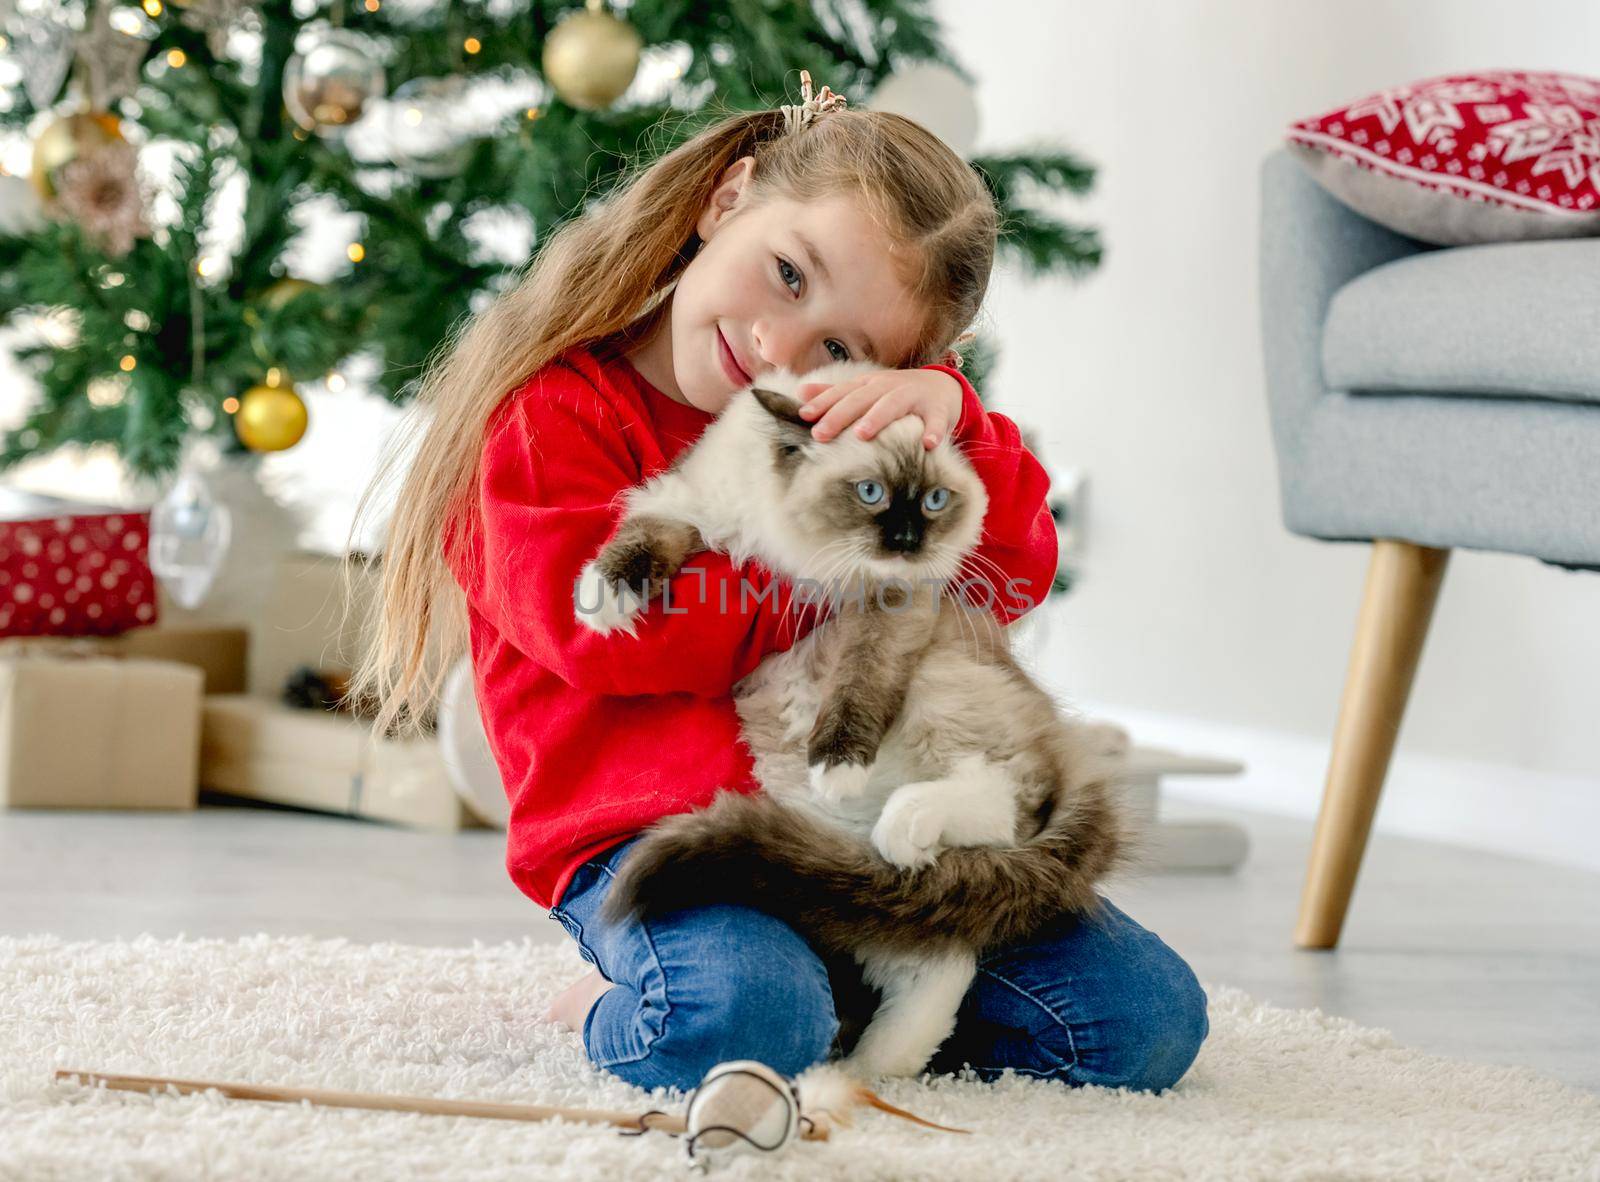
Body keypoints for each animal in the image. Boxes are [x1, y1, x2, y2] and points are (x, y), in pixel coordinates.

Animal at [572, 358, 1126, 1081]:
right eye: (870, 493)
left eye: (934, 502)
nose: (908, 540)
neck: (800, 556)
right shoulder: (684, 506)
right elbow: (643, 542)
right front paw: (604, 601)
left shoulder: (892, 606)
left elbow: (858, 690)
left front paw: (839, 763)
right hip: (818, 811)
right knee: (934, 957)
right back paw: (864, 1069)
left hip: (940, 688)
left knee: (1004, 807)